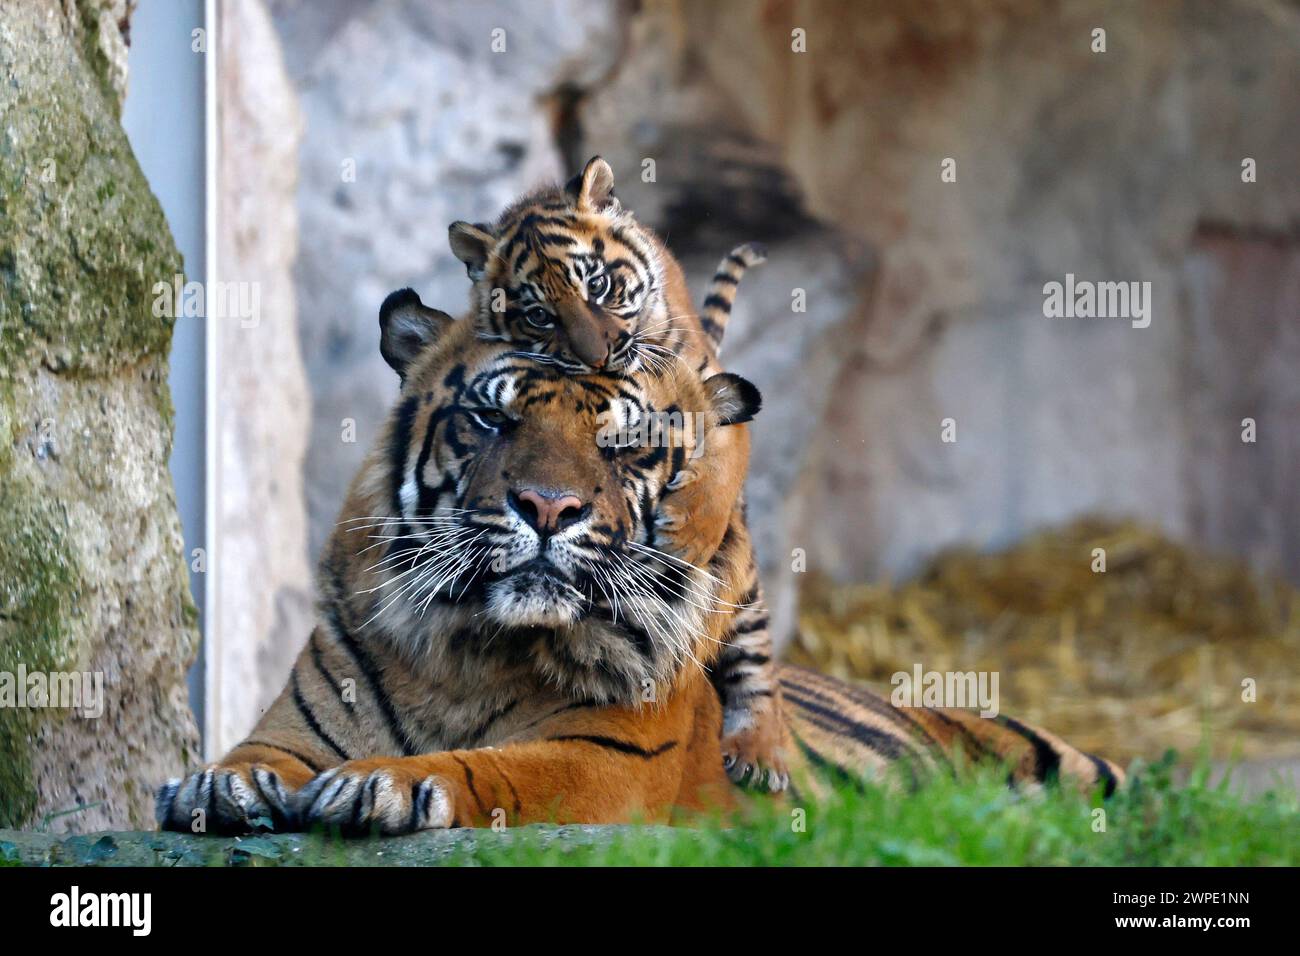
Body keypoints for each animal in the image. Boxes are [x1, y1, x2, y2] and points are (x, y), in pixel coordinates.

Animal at [157, 291, 1123, 837]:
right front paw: (220, 785)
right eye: (493, 417)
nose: (549, 508)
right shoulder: (295, 724)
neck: (468, 652)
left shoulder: (605, 754)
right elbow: (252, 753)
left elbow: (494, 766)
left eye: (621, 444)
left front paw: (386, 786)